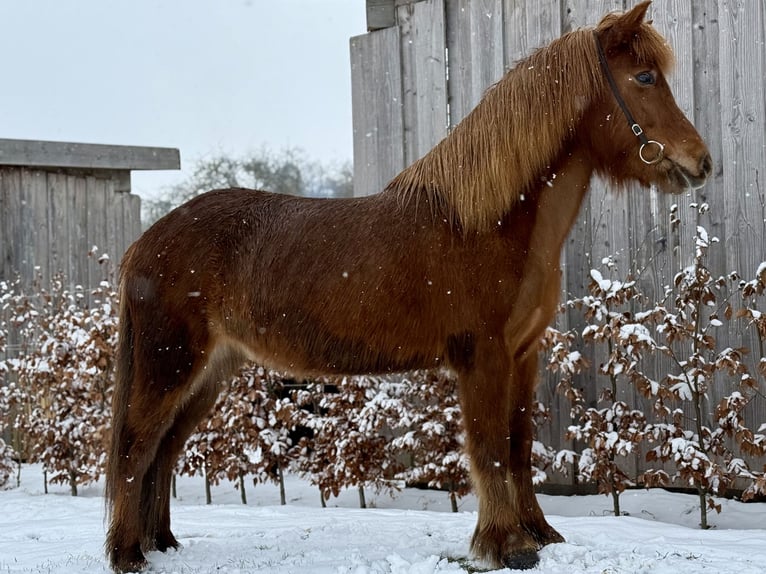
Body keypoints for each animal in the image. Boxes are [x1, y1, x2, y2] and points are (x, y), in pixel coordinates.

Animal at [105, 2, 711, 571]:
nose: (701, 162)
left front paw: (540, 535)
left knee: (163, 450)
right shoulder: (484, 356)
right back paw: (128, 555)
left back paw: (162, 545)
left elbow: (518, 447)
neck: (487, 221)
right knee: (136, 447)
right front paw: (505, 545)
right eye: (644, 77)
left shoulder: (524, 353)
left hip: (210, 372)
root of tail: (145, 243)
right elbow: (489, 449)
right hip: (169, 364)